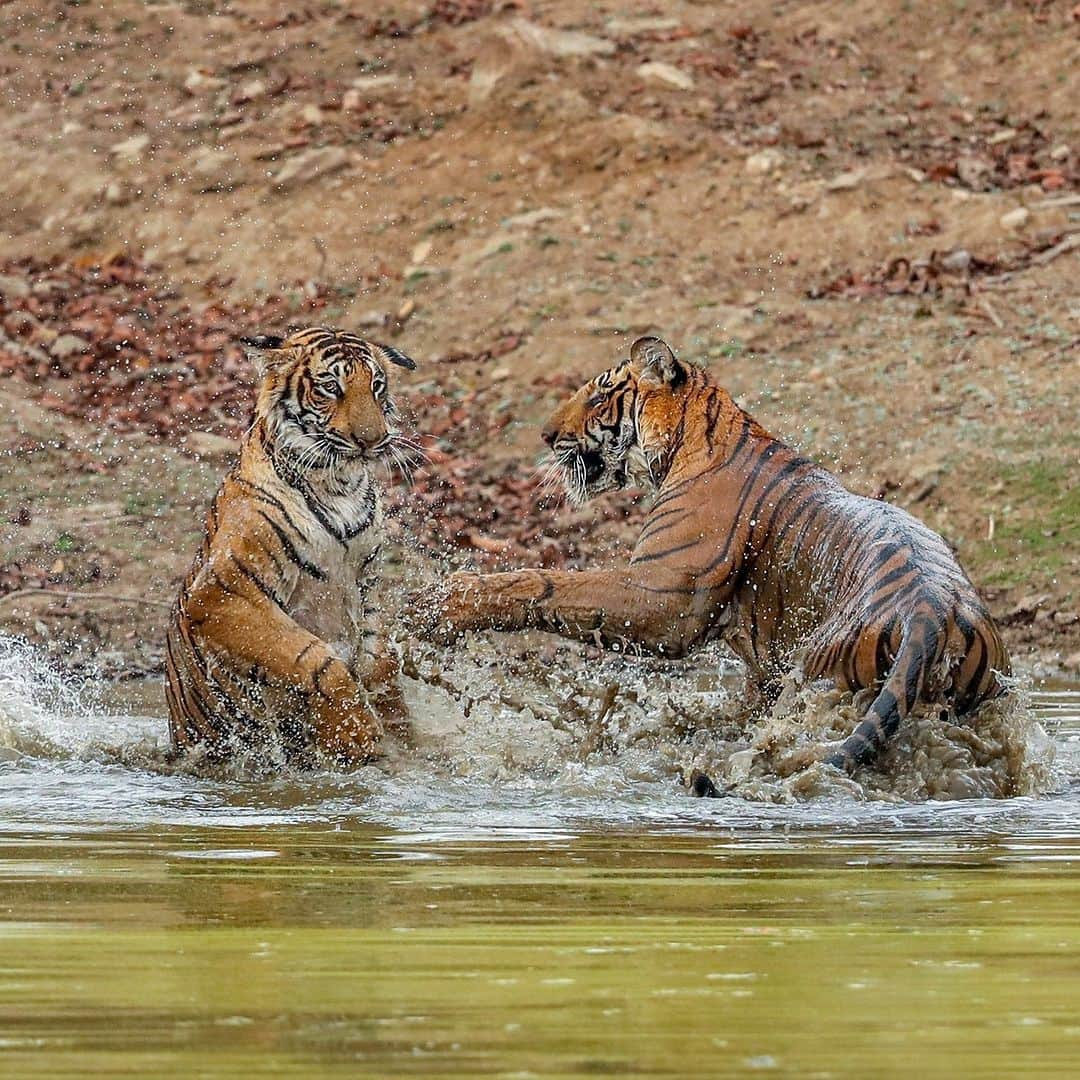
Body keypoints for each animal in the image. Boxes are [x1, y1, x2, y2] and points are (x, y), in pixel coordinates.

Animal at [163, 324, 416, 764]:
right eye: (331, 387)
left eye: (377, 386)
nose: (373, 440)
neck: (340, 484)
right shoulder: (223, 593)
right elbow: (311, 657)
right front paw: (356, 734)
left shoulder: (368, 582)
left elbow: (379, 657)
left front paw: (398, 729)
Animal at [406, 332, 1010, 781]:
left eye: (598, 397)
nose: (545, 434)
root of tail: (930, 613)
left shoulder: (661, 598)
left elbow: (548, 582)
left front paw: (438, 605)